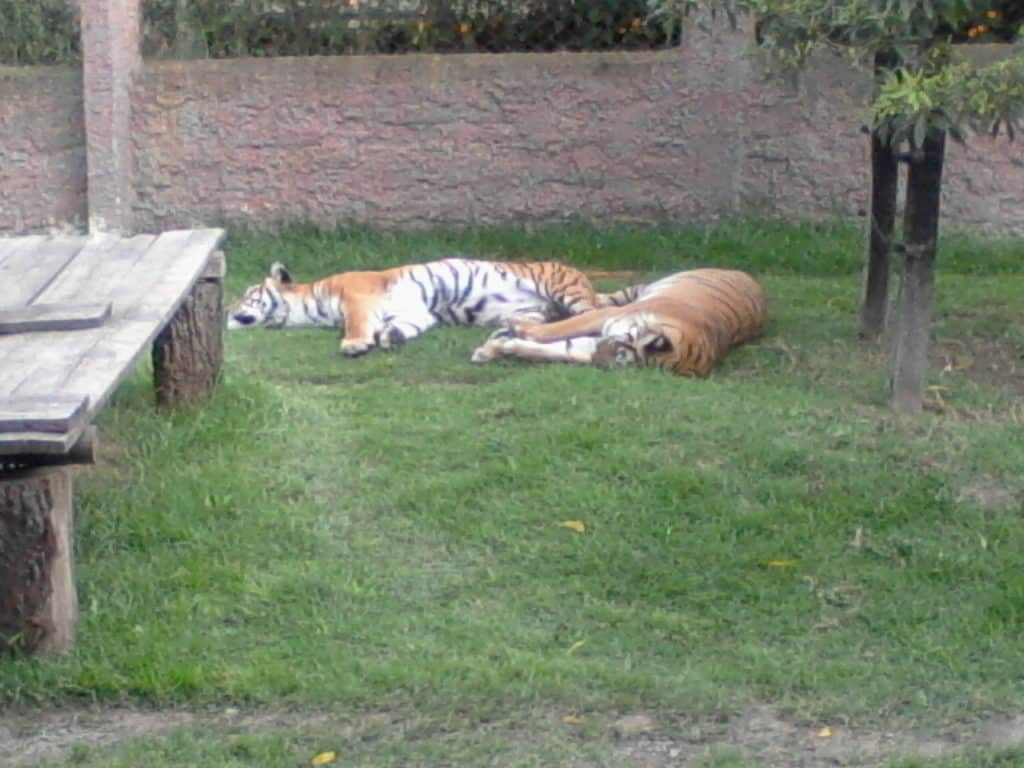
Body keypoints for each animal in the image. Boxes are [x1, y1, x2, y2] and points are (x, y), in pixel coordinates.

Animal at [226, 256, 598, 358]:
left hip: (565, 290)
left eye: (246, 293)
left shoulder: (358, 298)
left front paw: (354, 344)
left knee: (589, 317)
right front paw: (392, 338)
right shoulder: (415, 313)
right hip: (528, 314)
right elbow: (404, 326)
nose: (227, 311)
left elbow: (356, 324)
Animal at [468, 268, 765, 380]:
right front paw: (515, 327)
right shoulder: (606, 317)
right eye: (626, 348)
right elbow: (558, 329)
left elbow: (551, 348)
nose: (598, 359)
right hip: (632, 293)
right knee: (602, 298)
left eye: (624, 362)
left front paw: (497, 347)